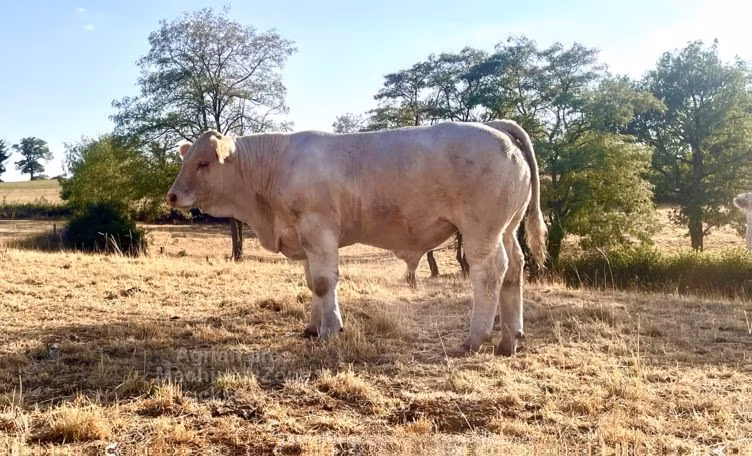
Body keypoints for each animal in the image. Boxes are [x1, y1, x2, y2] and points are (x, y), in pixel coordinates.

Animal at [166, 120, 547, 356]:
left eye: (203, 163)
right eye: (186, 160)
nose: (172, 196)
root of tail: (496, 127)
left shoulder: (318, 229)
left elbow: (323, 283)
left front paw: (330, 330)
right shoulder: (304, 237)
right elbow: (312, 283)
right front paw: (313, 326)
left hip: (481, 231)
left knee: (489, 274)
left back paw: (475, 338)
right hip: (507, 229)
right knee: (515, 269)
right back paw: (510, 339)